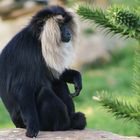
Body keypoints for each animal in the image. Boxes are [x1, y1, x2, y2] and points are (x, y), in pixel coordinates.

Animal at [0, 6, 86, 137]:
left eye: (66, 24)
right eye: (60, 25)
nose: (68, 32)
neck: (38, 40)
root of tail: (16, 123)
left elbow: (55, 74)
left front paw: (76, 77)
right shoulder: (26, 53)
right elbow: (22, 89)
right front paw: (32, 127)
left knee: (57, 82)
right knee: (44, 92)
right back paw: (66, 125)